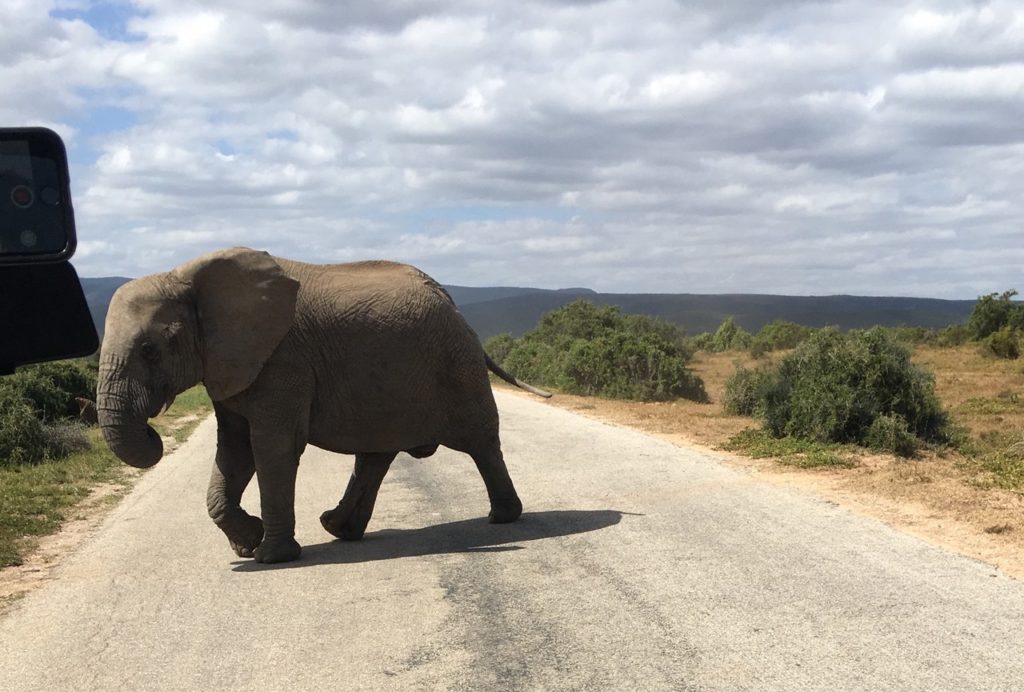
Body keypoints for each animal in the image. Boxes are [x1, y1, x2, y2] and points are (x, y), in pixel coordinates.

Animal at [99, 247, 552, 560]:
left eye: (149, 350)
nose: (155, 431)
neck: (187, 277)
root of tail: (452, 302)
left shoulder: (282, 359)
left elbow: (272, 448)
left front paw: (271, 557)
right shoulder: (233, 364)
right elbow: (235, 450)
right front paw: (248, 544)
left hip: (456, 362)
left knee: (480, 442)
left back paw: (503, 518)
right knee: (376, 455)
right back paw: (338, 529)